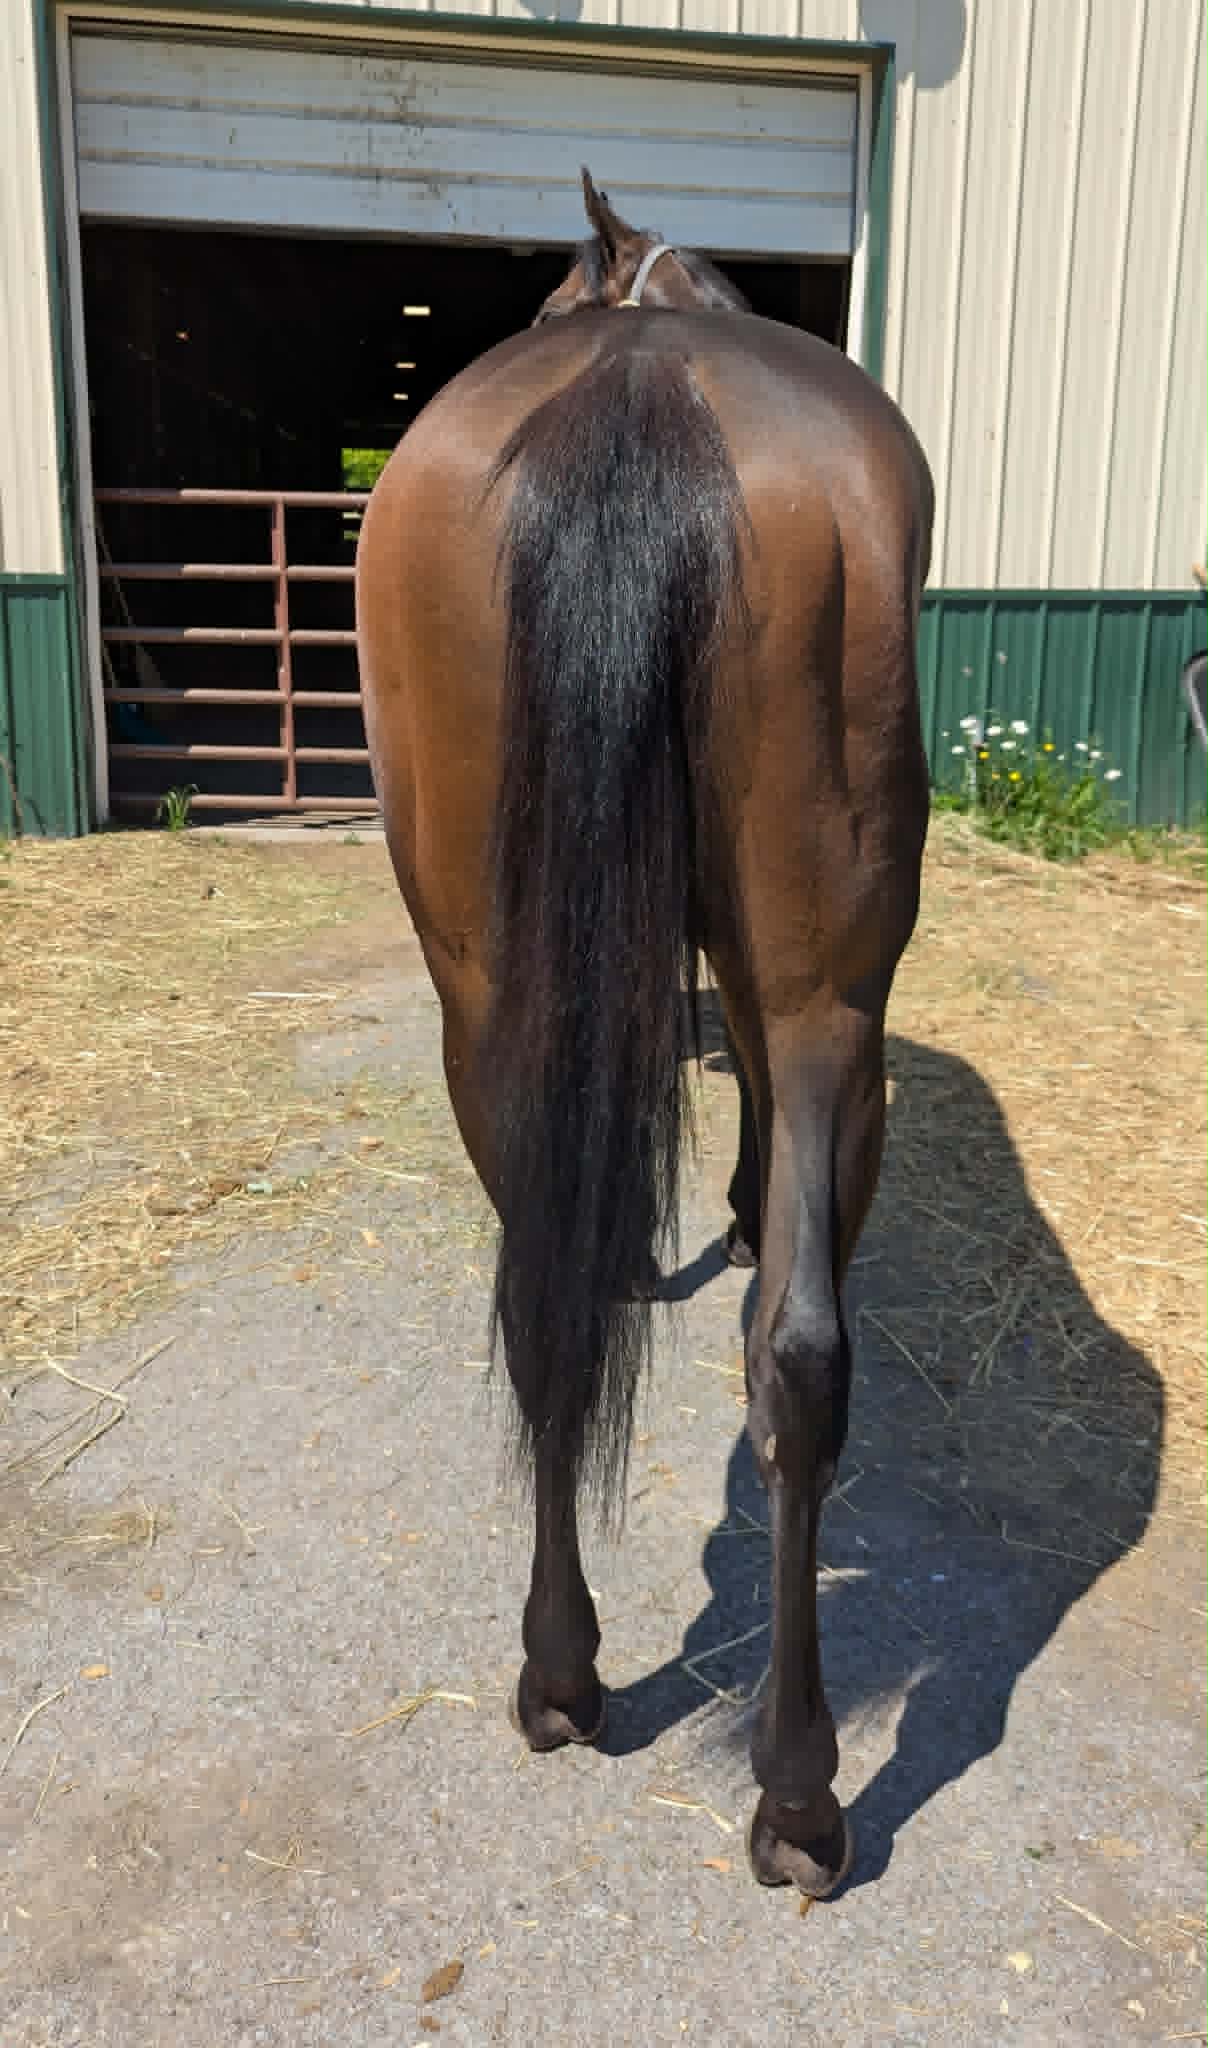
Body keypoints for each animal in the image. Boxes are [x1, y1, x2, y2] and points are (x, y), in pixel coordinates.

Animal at [355, 171, 933, 1897]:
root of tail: (640, 387)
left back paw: (571, 1678)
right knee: (791, 1353)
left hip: (491, 991)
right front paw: (735, 1215)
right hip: (824, 1002)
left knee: (558, 1300)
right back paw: (794, 1795)